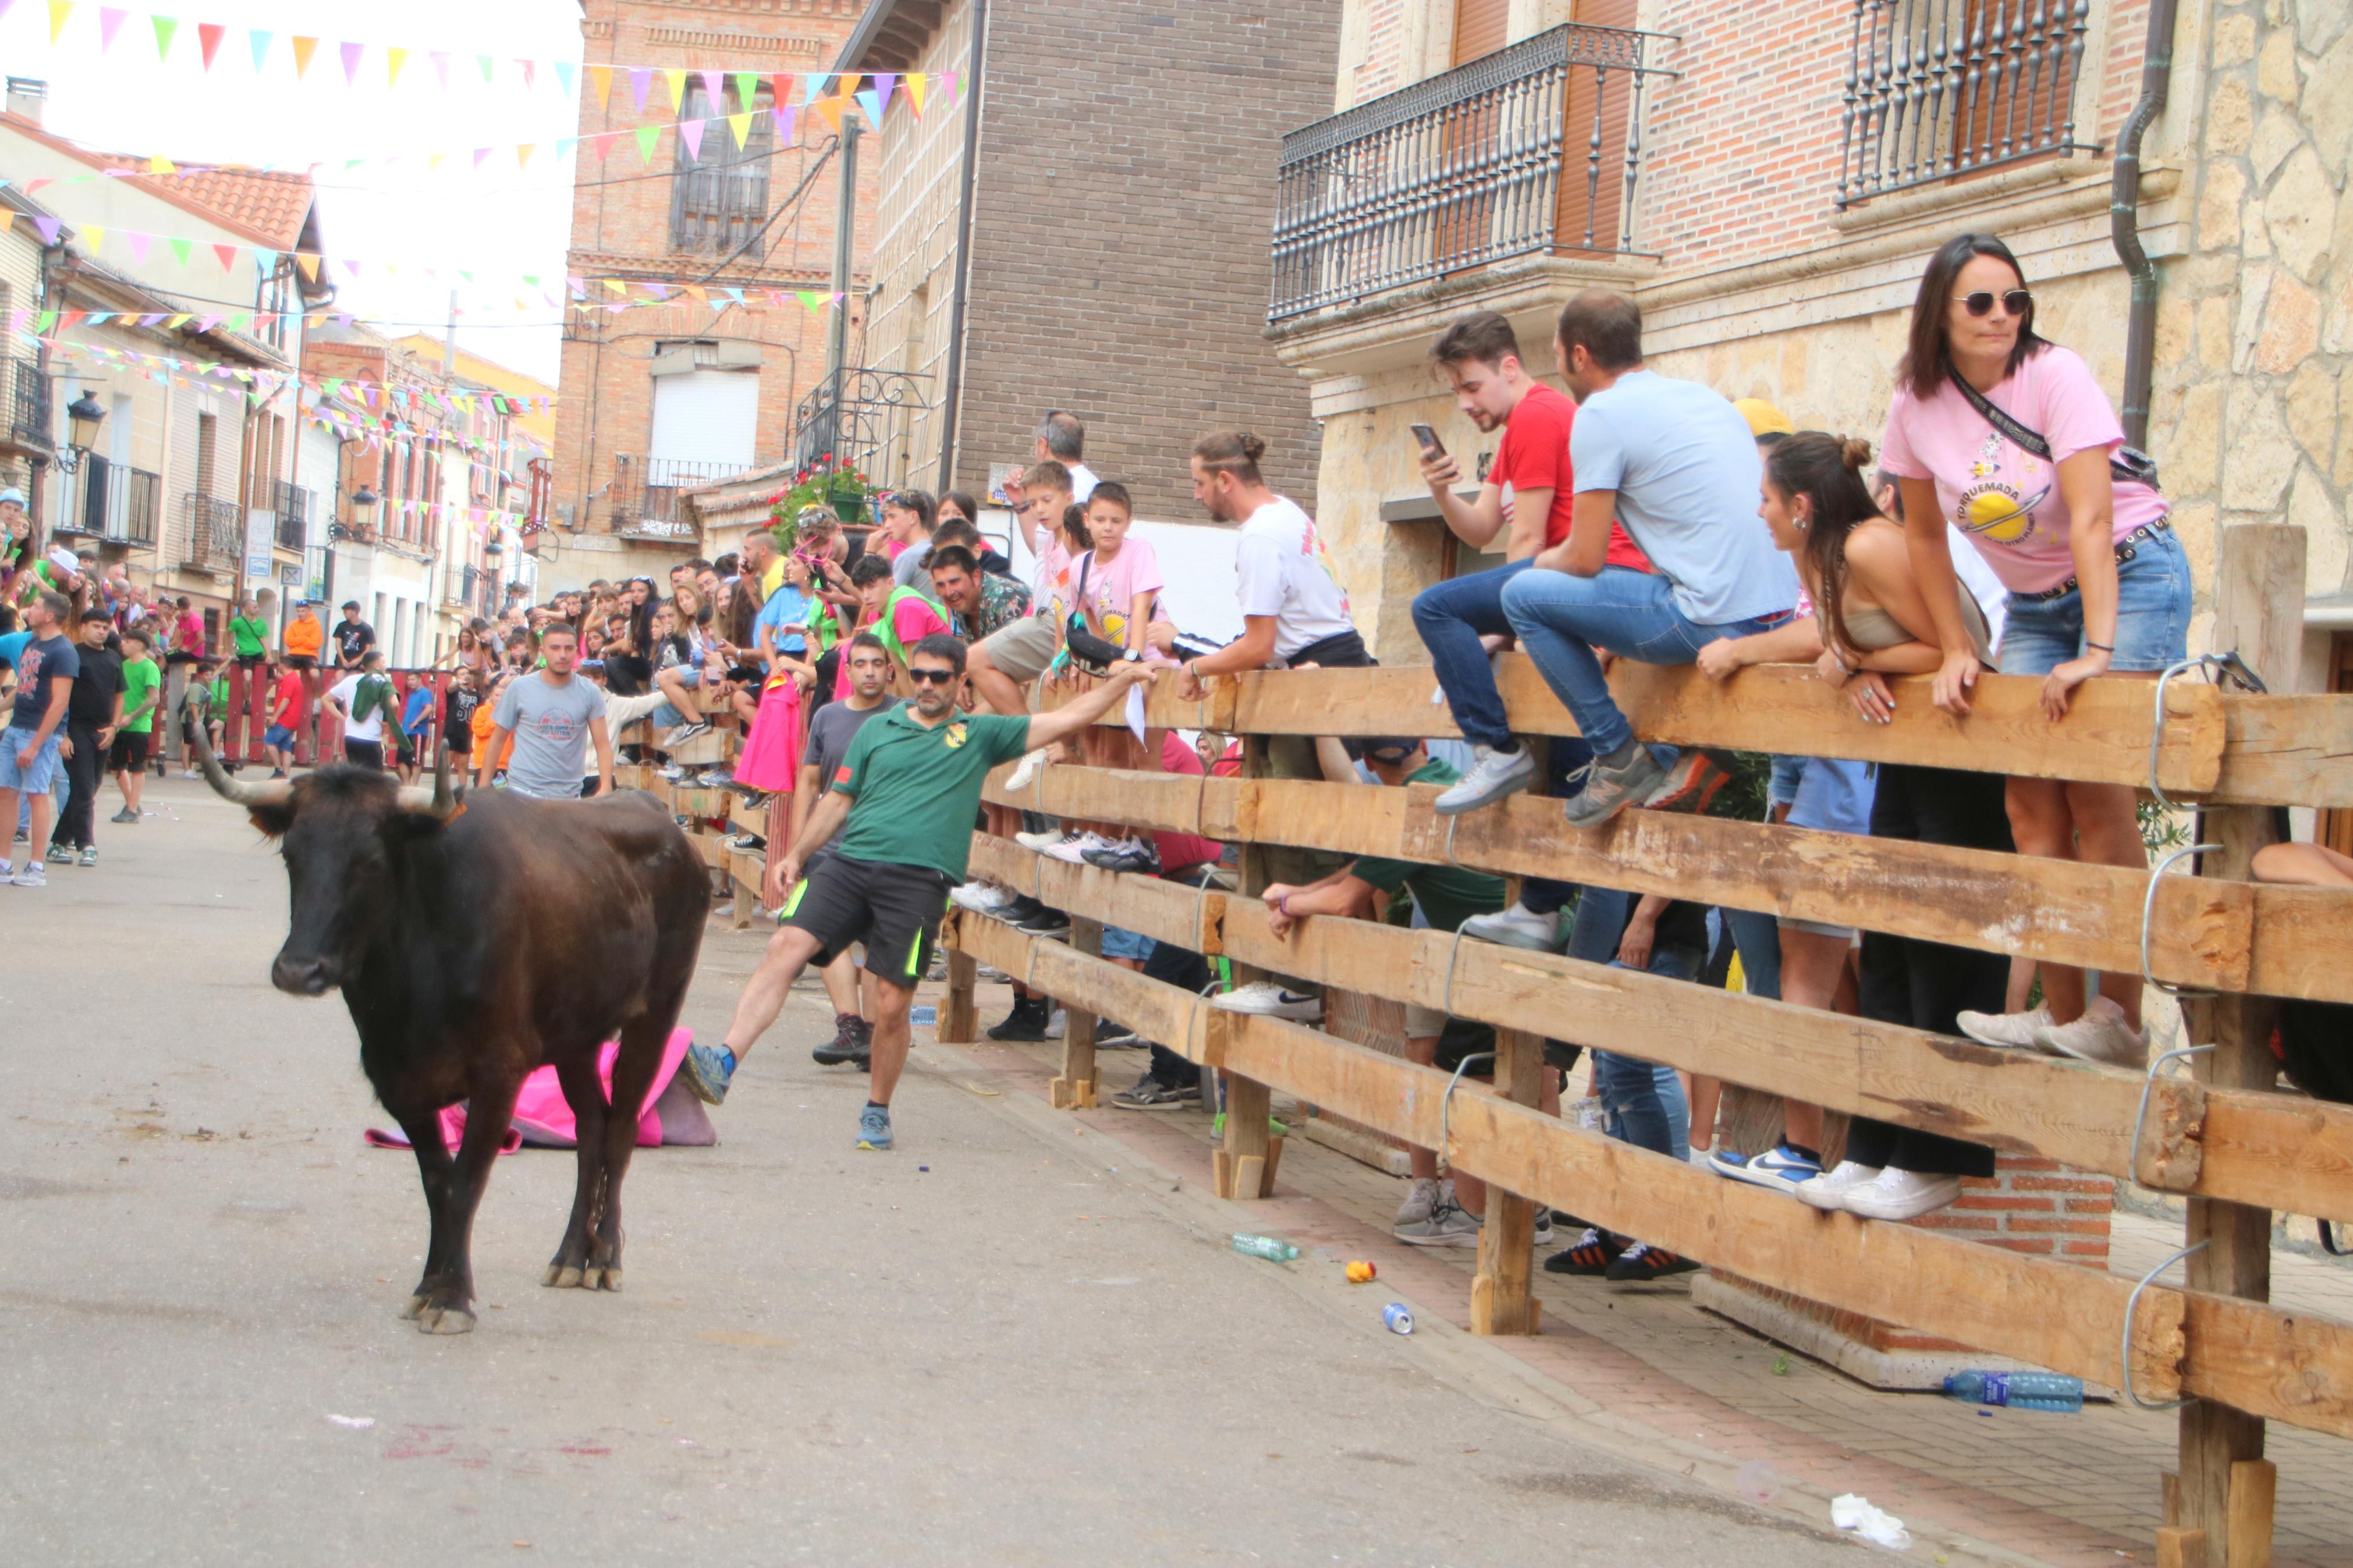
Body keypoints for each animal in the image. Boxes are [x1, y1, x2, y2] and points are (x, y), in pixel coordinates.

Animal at [195, 738, 705, 1335]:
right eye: (291, 856)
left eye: (372, 861)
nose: (299, 971)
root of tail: (665, 826)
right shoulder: (399, 1082)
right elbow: (437, 1187)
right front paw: (428, 1286)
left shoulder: (499, 1075)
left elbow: (465, 1184)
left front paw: (453, 1299)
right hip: (576, 1040)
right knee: (590, 1129)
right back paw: (570, 1256)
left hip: (656, 1014)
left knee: (621, 1128)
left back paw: (604, 1259)